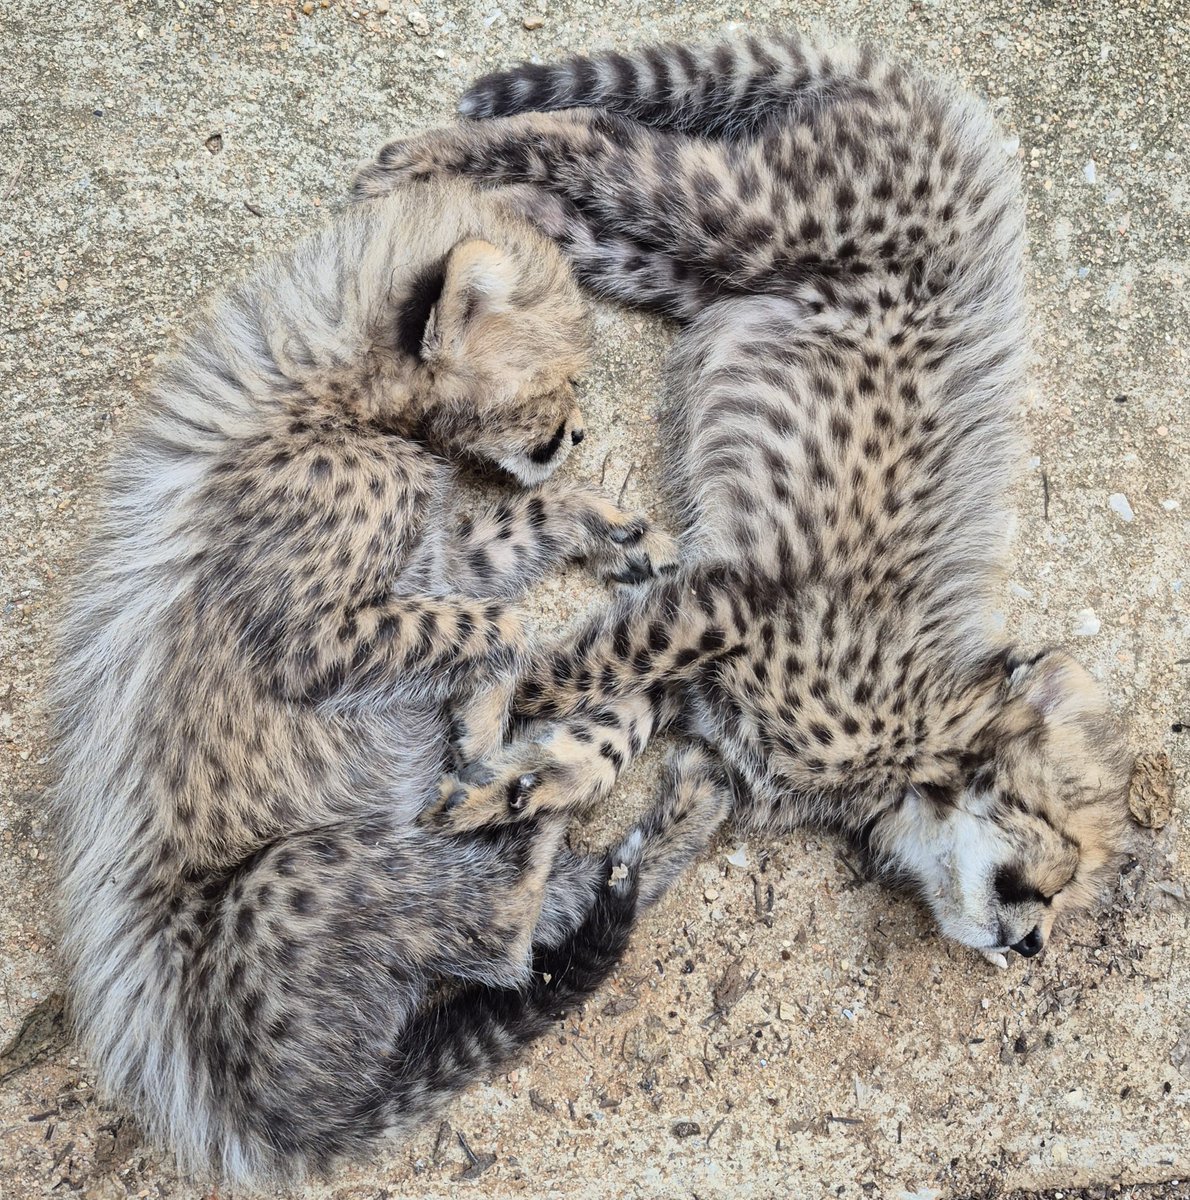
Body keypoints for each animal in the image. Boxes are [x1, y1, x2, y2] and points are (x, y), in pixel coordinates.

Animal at [50, 178, 731, 1186]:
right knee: (503, 934)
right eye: (557, 378)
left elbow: (521, 528)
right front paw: (483, 724)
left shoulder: (433, 561)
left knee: (581, 893)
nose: (576, 429)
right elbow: (501, 625)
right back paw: (528, 794)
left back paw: (655, 793)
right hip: (295, 878)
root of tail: (285, 1121)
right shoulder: (315, 635)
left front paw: (617, 528)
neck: (332, 404)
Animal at [355, 31, 1135, 969]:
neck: (918, 739)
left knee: (595, 210)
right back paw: (421, 161)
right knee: (598, 136)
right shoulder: (728, 601)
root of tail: (926, 105)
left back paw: (504, 208)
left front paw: (517, 782)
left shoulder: (703, 679)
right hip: (752, 217)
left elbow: (603, 734)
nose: (1033, 947)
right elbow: (567, 671)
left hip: (695, 274)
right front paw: (489, 707)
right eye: (1063, 861)